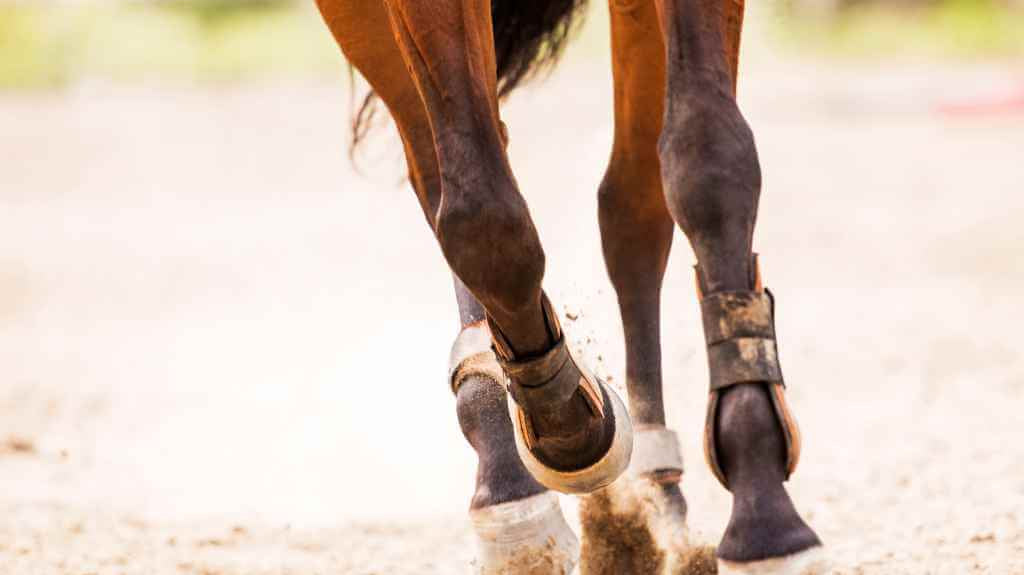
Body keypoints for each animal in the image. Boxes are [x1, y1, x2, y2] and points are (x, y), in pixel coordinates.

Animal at [314, 1, 827, 573]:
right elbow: (478, 215)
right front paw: (564, 421)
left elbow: (707, 157)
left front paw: (765, 517)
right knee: (439, 164)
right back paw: (507, 475)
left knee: (632, 200)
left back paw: (656, 496)